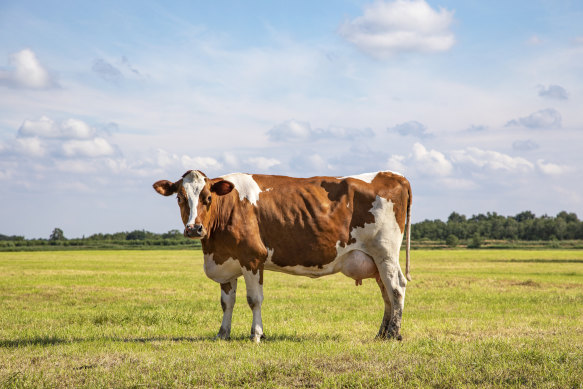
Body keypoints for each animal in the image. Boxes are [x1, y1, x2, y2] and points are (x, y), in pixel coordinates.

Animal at [153, 170, 412, 342]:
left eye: (208, 198)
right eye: (180, 198)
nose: (194, 229)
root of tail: (392, 175)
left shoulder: (252, 258)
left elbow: (254, 300)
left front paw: (256, 335)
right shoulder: (227, 260)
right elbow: (227, 302)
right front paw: (222, 334)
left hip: (385, 252)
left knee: (396, 288)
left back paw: (393, 334)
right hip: (376, 261)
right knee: (386, 294)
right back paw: (381, 334)